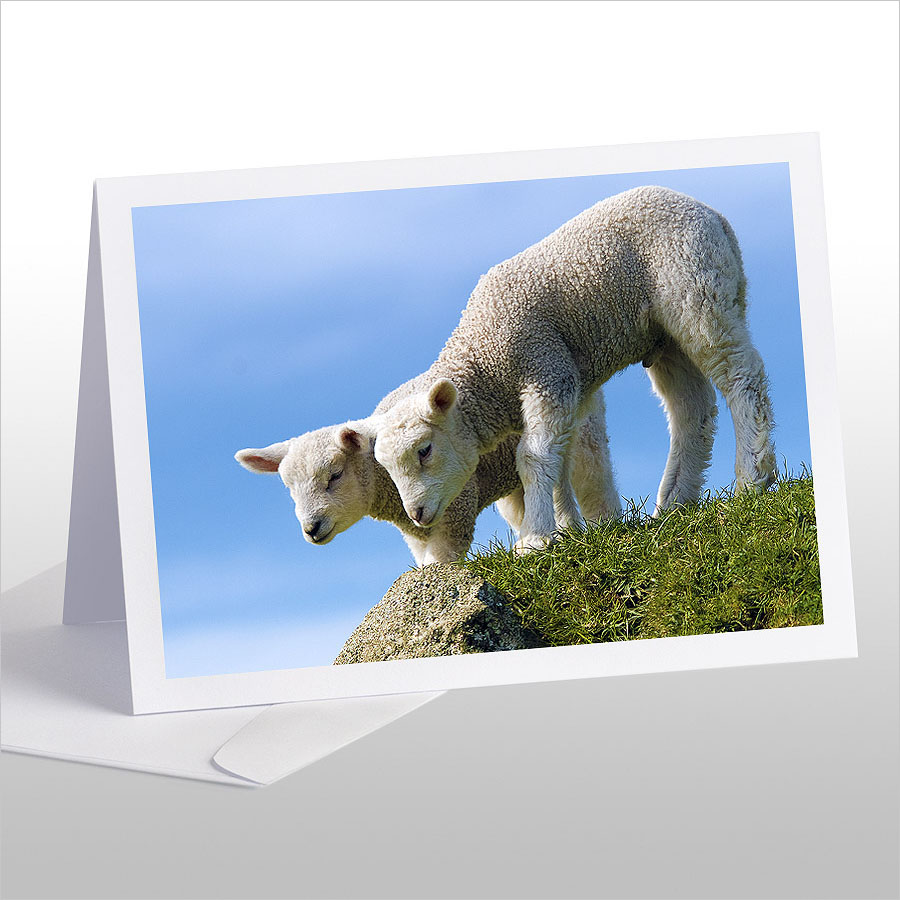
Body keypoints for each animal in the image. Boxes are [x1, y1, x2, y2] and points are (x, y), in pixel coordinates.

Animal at [235, 388, 620, 566]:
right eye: (289, 490)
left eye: (335, 475)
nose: (311, 528)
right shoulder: (415, 531)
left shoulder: (455, 509)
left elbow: (440, 564)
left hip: (581, 427)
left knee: (593, 478)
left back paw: (605, 527)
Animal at [371, 185, 776, 552]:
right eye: (385, 467)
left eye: (424, 450)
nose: (417, 514)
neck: (487, 365)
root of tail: (711, 213)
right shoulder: (567, 388)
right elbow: (558, 462)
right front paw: (567, 530)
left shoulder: (548, 369)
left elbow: (532, 459)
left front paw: (534, 539)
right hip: (665, 336)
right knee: (692, 409)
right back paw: (674, 502)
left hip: (697, 291)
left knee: (741, 374)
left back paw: (753, 476)